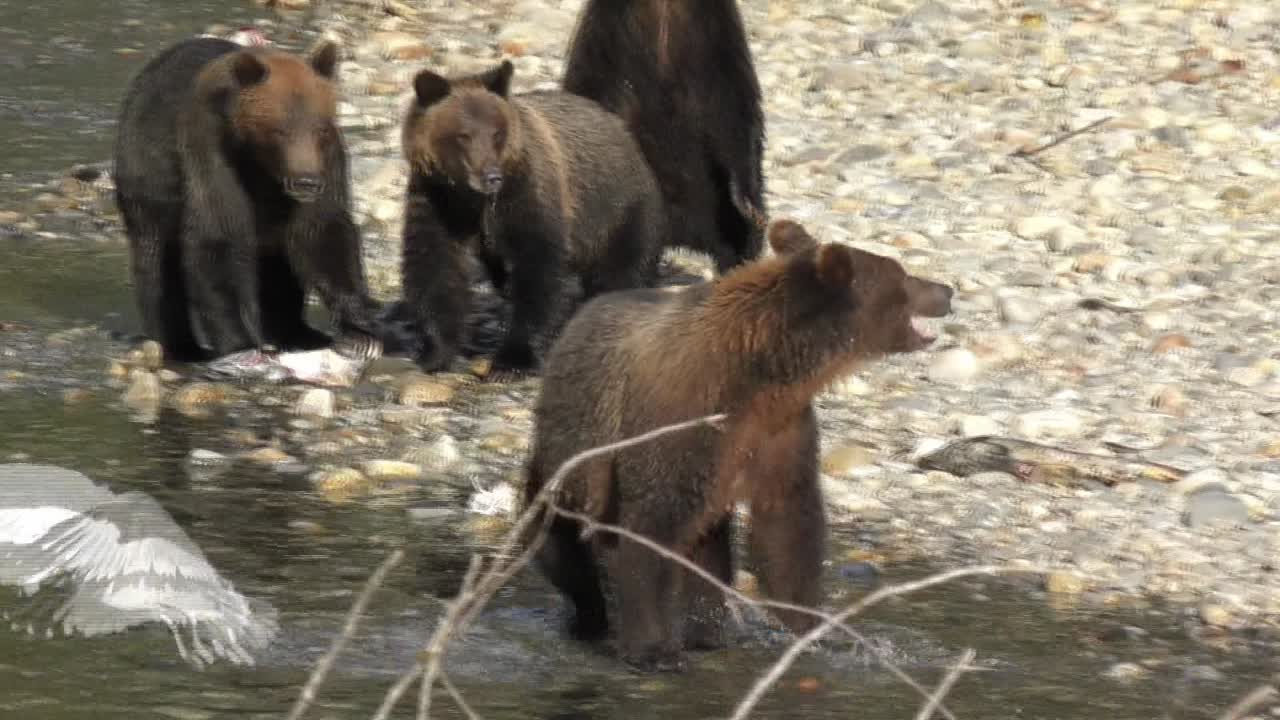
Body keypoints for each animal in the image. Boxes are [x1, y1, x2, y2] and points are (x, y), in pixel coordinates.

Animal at [113, 37, 382, 363]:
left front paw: (361, 329)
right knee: (156, 259)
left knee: (278, 266)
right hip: (148, 175)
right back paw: (179, 345)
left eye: (320, 128)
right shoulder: (211, 152)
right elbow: (217, 237)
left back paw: (298, 332)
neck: (262, 167)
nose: (306, 182)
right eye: (279, 130)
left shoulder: (326, 164)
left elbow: (322, 232)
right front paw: (238, 341)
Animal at [398, 60, 665, 378]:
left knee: (622, 269)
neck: (471, 198)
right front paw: (435, 352)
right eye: (463, 135)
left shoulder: (526, 193)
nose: (491, 177)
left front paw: (513, 360)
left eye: (497, 133)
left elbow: (537, 267)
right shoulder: (437, 200)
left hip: (618, 208)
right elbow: (433, 264)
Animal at [521, 219, 953, 671]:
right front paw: (653, 649)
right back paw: (590, 617)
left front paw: (817, 629)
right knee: (564, 542)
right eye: (902, 275)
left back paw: (710, 632)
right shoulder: (681, 421)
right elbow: (653, 527)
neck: (760, 372)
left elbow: (788, 526)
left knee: (707, 549)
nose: (946, 290)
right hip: (570, 455)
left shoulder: (778, 431)